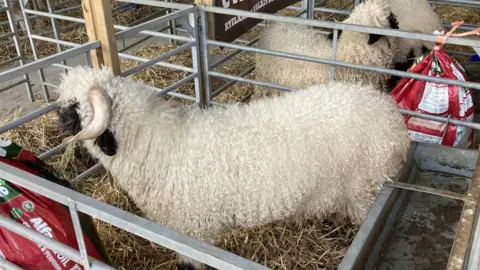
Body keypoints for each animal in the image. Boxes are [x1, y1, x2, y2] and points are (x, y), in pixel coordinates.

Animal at [55, 66, 408, 270]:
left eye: (73, 107)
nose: (57, 124)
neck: (157, 144)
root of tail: (393, 119)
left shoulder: (193, 232)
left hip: (367, 189)